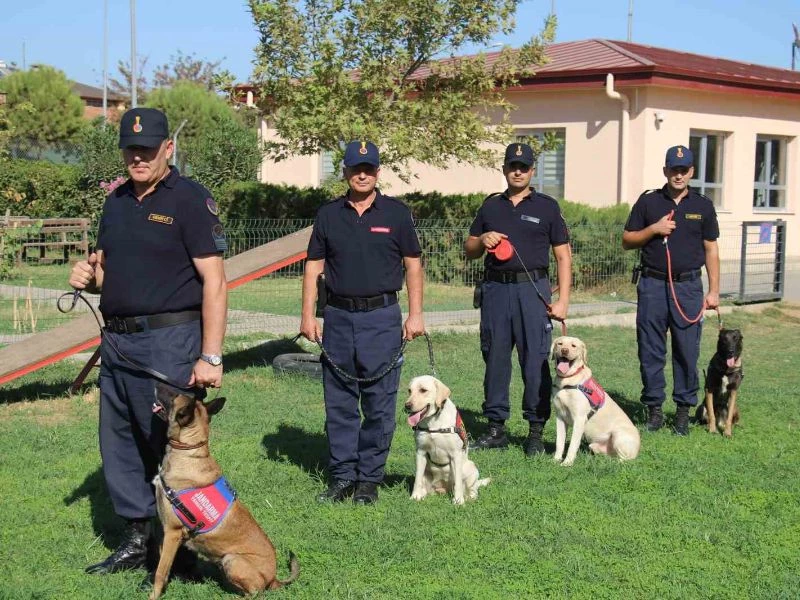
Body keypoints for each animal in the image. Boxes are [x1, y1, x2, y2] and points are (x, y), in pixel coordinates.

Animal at [148, 384, 298, 600]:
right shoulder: (166, 534)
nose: (156, 384)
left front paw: (153, 595)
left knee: (255, 593)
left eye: (174, 395)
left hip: (231, 559)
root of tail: (273, 579)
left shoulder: (172, 533)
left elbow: (161, 572)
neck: (188, 451)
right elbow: (162, 566)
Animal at [548, 336, 640, 466]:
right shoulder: (560, 417)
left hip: (618, 434)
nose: (564, 350)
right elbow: (559, 442)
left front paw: (567, 463)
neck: (567, 381)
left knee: (625, 460)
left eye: (573, 345)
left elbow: (572, 445)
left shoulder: (579, 419)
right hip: (594, 446)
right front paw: (556, 460)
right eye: (559, 344)